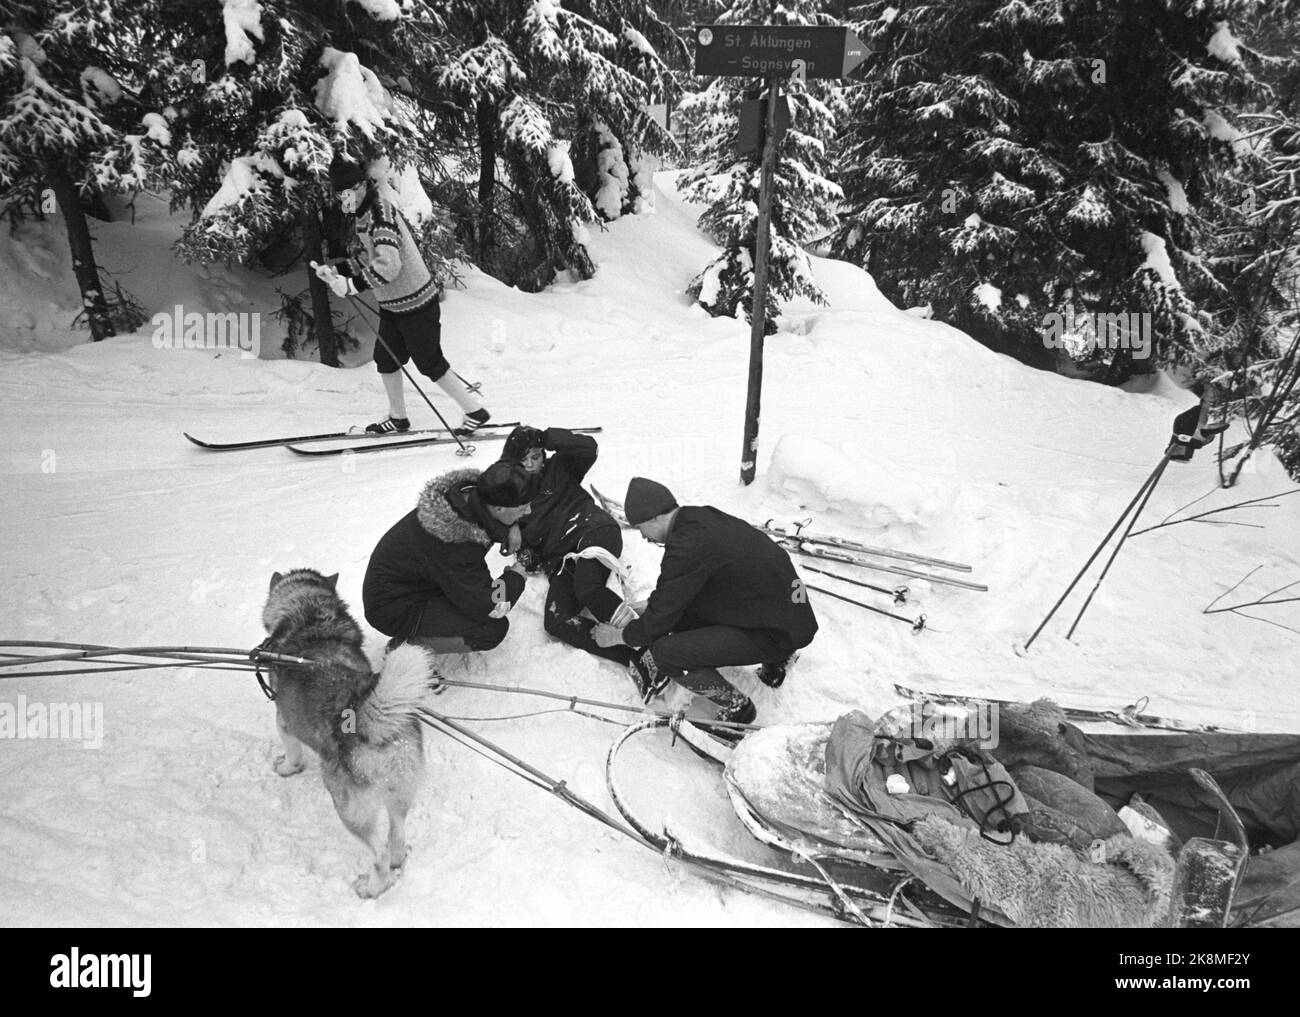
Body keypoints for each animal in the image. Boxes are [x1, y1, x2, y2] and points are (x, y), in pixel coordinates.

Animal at [261, 572, 439, 899]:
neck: (311, 617)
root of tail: (369, 719)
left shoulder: (284, 721)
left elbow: (292, 752)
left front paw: (287, 768)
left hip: (350, 809)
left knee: (380, 855)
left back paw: (371, 888)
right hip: (400, 793)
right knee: (396, 836)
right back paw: (397, 859)